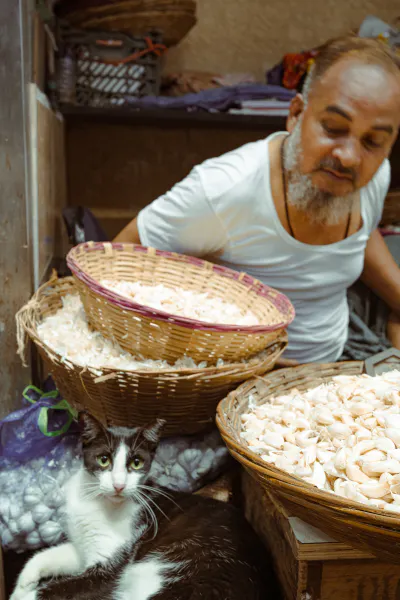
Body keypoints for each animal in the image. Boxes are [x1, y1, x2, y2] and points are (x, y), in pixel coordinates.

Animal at [10, 414, 278, 600]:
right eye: (103, 460)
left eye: (136, 463)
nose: (118, 485)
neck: (97, 501)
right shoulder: (84, 546)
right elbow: (49, 554)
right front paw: (22, 584)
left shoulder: (110, 569)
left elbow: (60, 588)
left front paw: (24, 594)